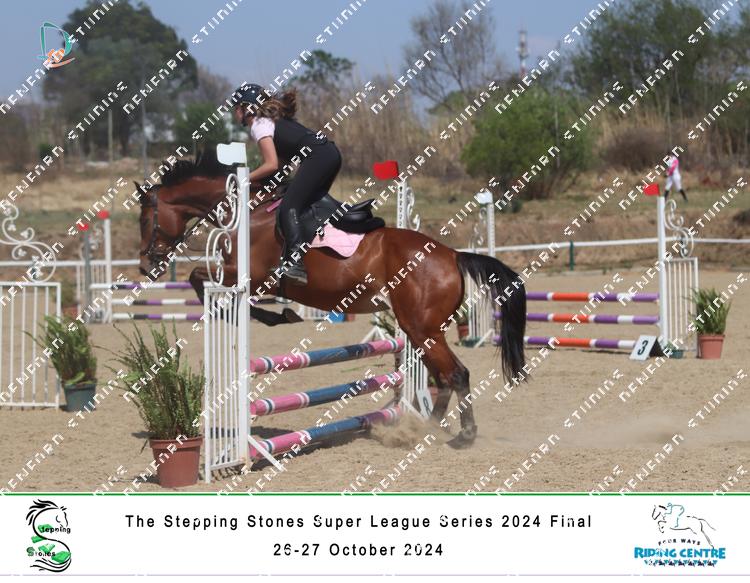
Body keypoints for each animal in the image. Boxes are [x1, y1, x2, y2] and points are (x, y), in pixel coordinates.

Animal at [135, 155, 527, 448]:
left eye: (145, 218)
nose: (144, 265)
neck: (249, 211)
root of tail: (452, 255)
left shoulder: (248, 276)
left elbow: (198, 279)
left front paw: (270, 317)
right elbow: (200, 280)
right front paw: (274, 315)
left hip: (421, 327)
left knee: (455, 374)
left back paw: (462, 436)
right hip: (421, 329)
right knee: (443, 377)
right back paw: (421, 430)